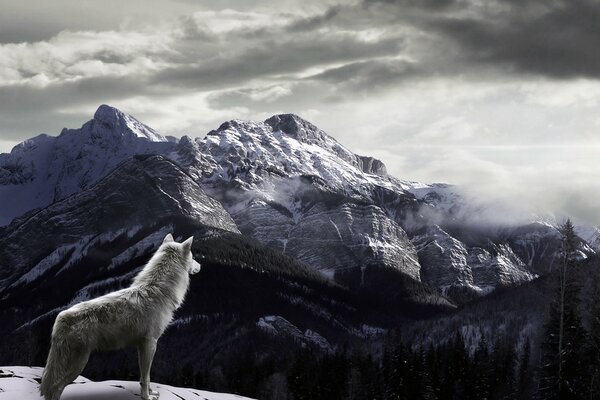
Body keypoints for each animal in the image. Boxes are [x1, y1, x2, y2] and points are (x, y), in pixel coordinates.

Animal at [39, 233, 202, 398]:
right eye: (193, 257)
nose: (200, 265)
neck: (158, 290)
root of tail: (60, 317)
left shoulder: (142, 346)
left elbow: (145, 376)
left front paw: (150, 392)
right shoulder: (150, 343)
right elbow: (146, 377)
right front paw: (147, 396)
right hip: (77, 365)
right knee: (55, 388)